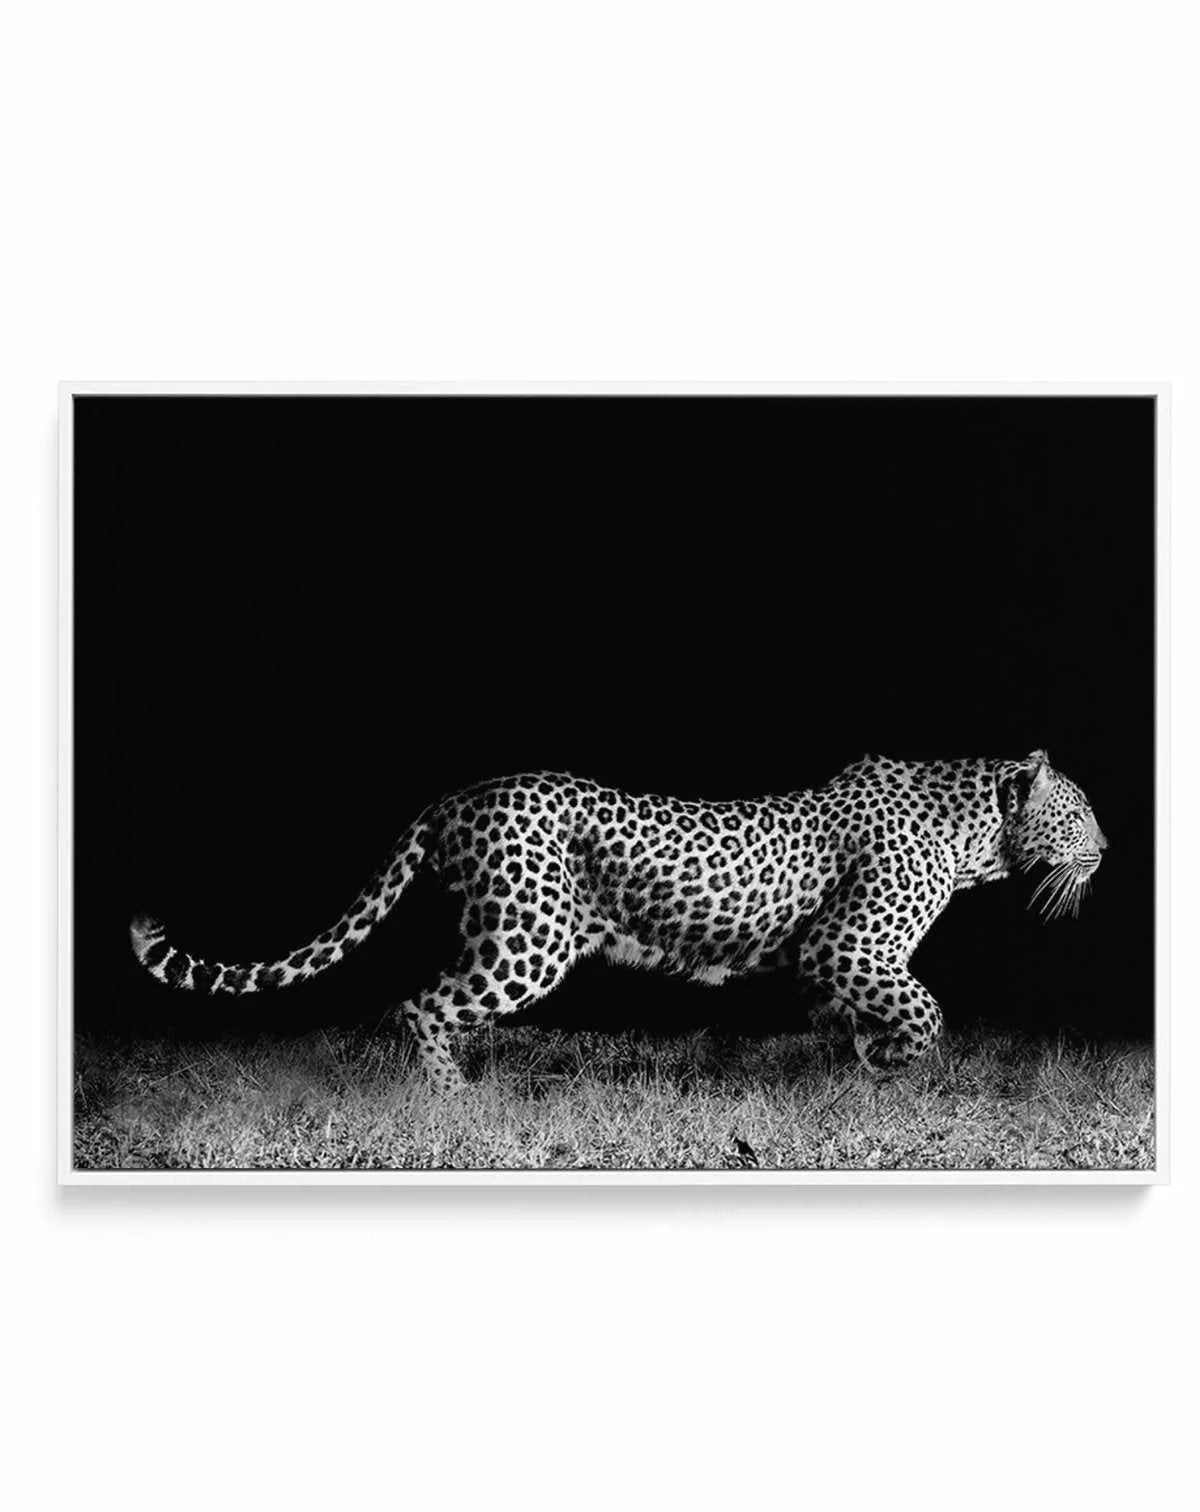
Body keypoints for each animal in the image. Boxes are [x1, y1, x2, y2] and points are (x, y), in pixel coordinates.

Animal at [130, 749, 1106, 1093]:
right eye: (1082, 811)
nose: (1108, 846)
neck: (977, 834)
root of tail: (458, 794)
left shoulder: (835, 962)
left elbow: (863, 1016)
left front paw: (864, 1065)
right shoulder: (847, 946)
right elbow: (926, 1009)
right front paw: (897, 1065)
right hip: (529, 939)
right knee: (420, 1004)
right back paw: (452, 1099)